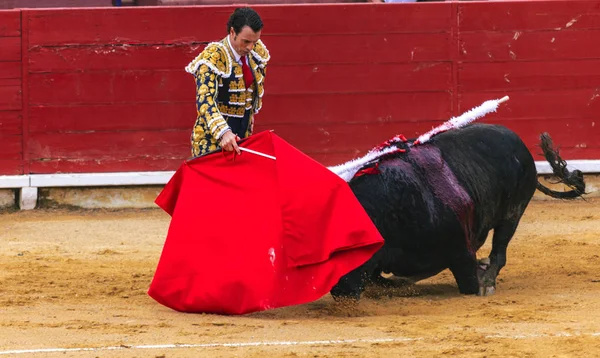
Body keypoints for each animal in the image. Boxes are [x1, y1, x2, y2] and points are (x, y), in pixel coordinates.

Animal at [330, 123, 584, 300]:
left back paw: (488, 278)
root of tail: (520, 145)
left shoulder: (461, 250)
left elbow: (469, 282)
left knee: (499, 250)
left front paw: (482, 280)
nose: (340, 291)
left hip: (512, 214)